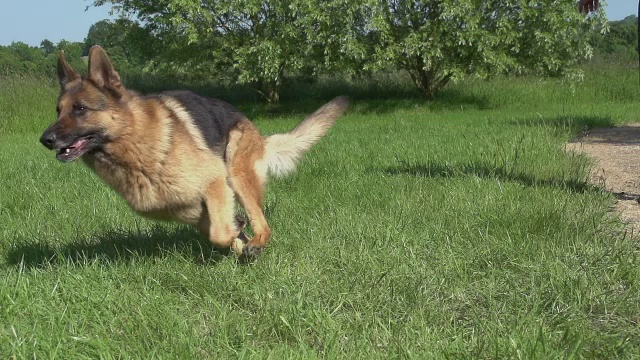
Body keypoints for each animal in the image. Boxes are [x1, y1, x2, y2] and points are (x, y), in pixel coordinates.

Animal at [39, 46, 348, 258]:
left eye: (80, 109)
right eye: (58, 110)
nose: (45, 139)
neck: (134, 146)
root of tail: (257, 133)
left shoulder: (215, 181)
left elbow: (220, 233)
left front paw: (239, 235)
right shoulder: (180, 206)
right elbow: (215, 226)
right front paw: (238, 236)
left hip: (237, 172)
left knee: (262, 222)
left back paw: (257, 241)